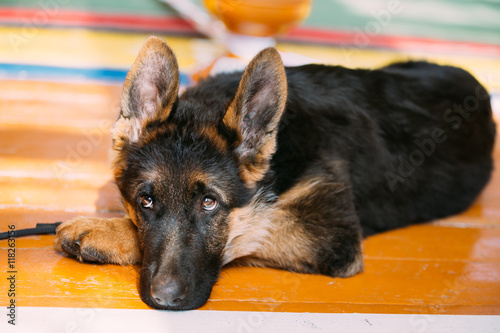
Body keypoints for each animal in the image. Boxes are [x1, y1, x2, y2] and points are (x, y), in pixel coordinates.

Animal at [55, 35, 496, 308]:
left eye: (210, 203)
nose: (164, 299)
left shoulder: (328, 236)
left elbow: (251, 227)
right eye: (145, 200)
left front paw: (106, 231)